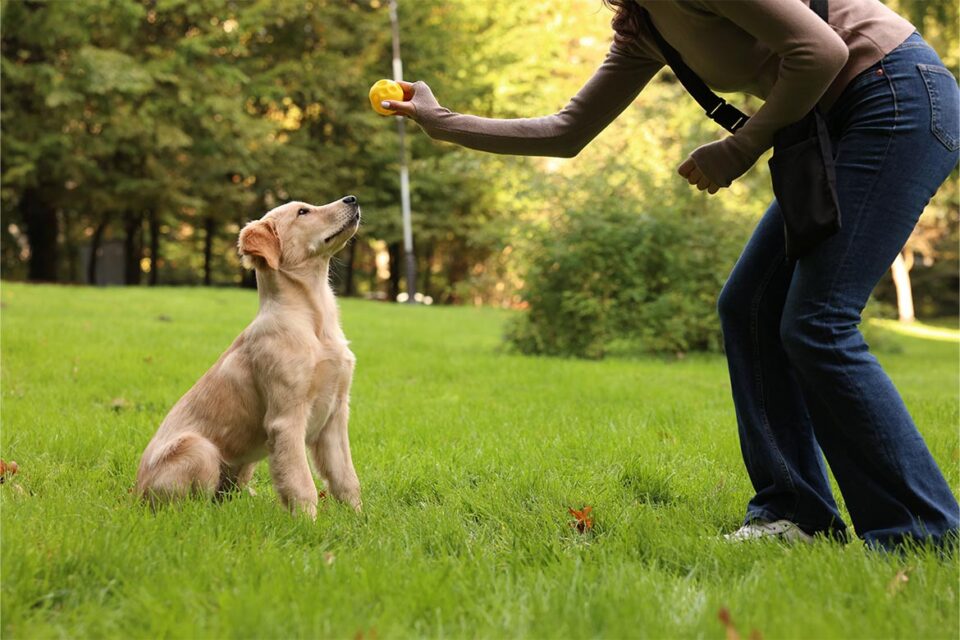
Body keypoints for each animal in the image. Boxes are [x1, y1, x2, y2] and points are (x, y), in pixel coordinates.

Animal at [134, 195, 360, 516]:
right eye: (303, 212)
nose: (352, 199)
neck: (315, 322)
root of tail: (135, 495)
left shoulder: (336, 413)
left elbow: (346, 478)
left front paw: (359, 518)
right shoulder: (286, 419)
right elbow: (301, 483)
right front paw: (308, 523)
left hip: (244, 464)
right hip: (200, 449)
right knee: (194, 506)